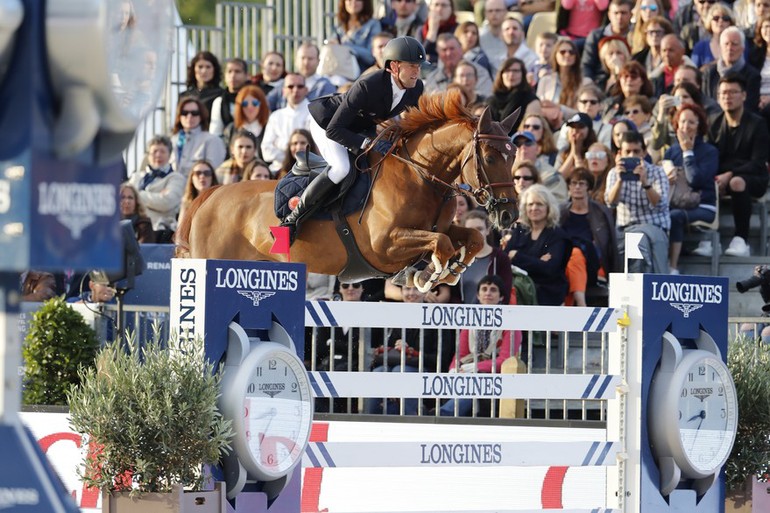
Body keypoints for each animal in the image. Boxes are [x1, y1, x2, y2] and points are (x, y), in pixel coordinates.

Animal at [176, 89, 516, 292]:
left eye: (513, 156)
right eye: (489, 158)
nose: (509, 214)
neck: (421, 175)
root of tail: (210, 196)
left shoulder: (438, 229)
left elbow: (470, 238)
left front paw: (448, 271)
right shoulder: (384, 245)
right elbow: (441, 243)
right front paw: (426, 275)